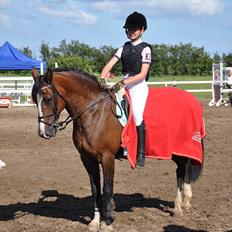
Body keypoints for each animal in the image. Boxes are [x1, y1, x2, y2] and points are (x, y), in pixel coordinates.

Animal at [31, 68, 204, 231]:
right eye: (34, 99)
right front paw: (95, 221)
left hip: (180, 148)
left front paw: (107, 222)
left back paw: (178, 207)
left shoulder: (107, 157)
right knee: (185, 169)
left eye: (47, 99)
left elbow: (107, 189)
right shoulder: (87, 159)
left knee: (182, 170)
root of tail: (189, 98)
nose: (43, 133)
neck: (94, 112)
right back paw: (186, 202)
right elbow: (95, 189)